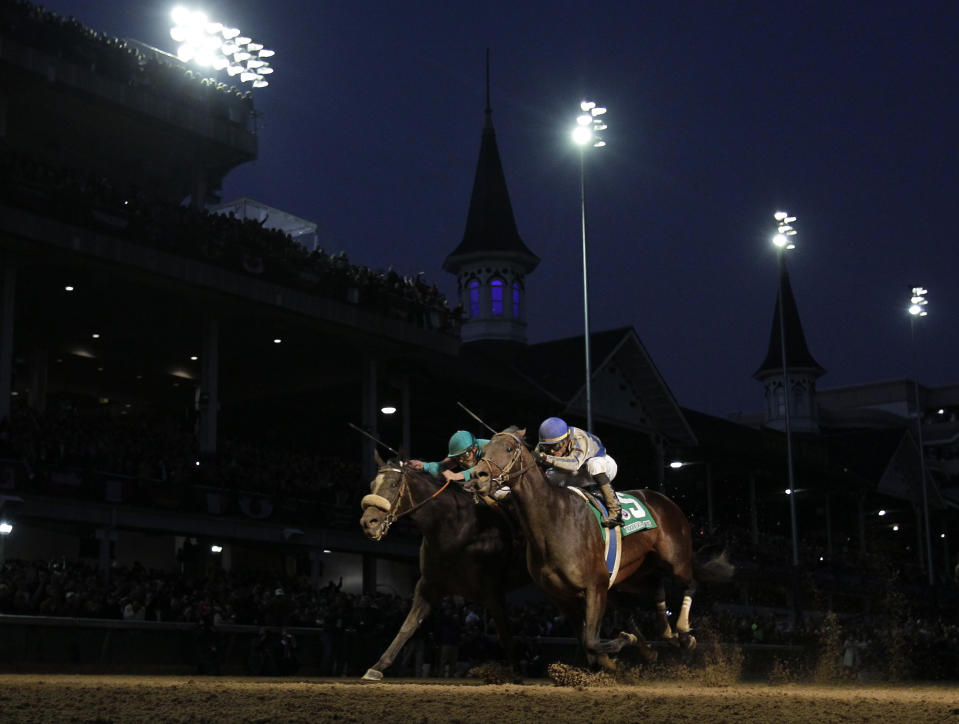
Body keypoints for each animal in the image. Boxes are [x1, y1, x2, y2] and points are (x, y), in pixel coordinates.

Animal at [360, 452, 528, 680]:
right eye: (372, 484)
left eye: (394, 483)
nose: (368, 523)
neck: (456, 529)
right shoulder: (429, 585)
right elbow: (408, 626)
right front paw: (377, 666)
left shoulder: (492, 590)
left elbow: (504, 632)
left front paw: (516, 671)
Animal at [468, 428, 732, 672]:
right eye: (483, 450)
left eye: (509, 449)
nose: (478, 476)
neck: (552, 521)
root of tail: (665, 500)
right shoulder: (561, 597)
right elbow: (587, 642)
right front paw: (619, 655)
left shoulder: (595, 585)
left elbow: (592, 641)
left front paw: (623, 641)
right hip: (633, 574)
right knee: (656, 588)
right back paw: (665, 638)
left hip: (675, 559)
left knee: (690, 583)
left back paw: (684, 634)